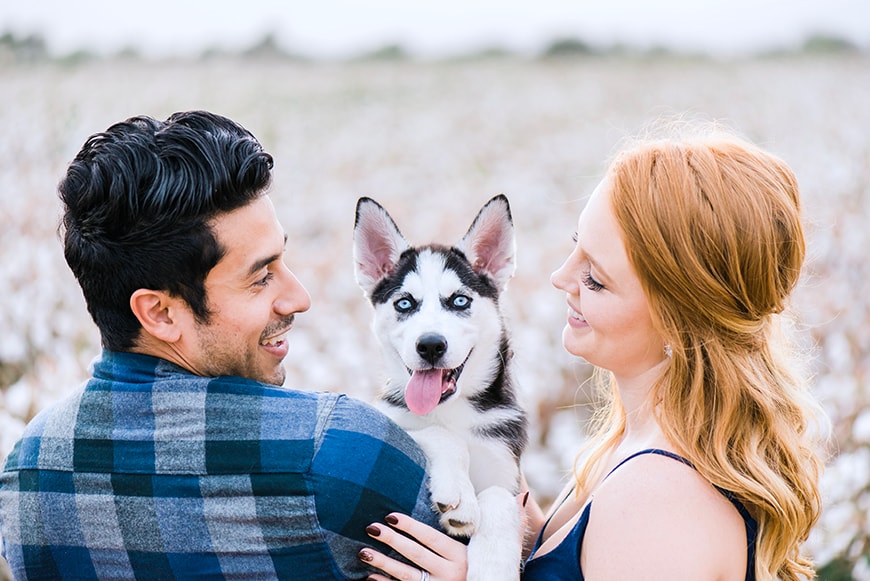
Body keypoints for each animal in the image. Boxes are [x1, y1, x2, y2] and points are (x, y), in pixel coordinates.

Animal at [352, 196, 528, 580]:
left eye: (459, 301)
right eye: (404, 303)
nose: (430, 345)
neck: (452, 410)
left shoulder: (507, 470)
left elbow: (500, 498)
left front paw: (493, 566)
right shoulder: (391, 420)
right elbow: (441, 435)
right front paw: (459, 494)